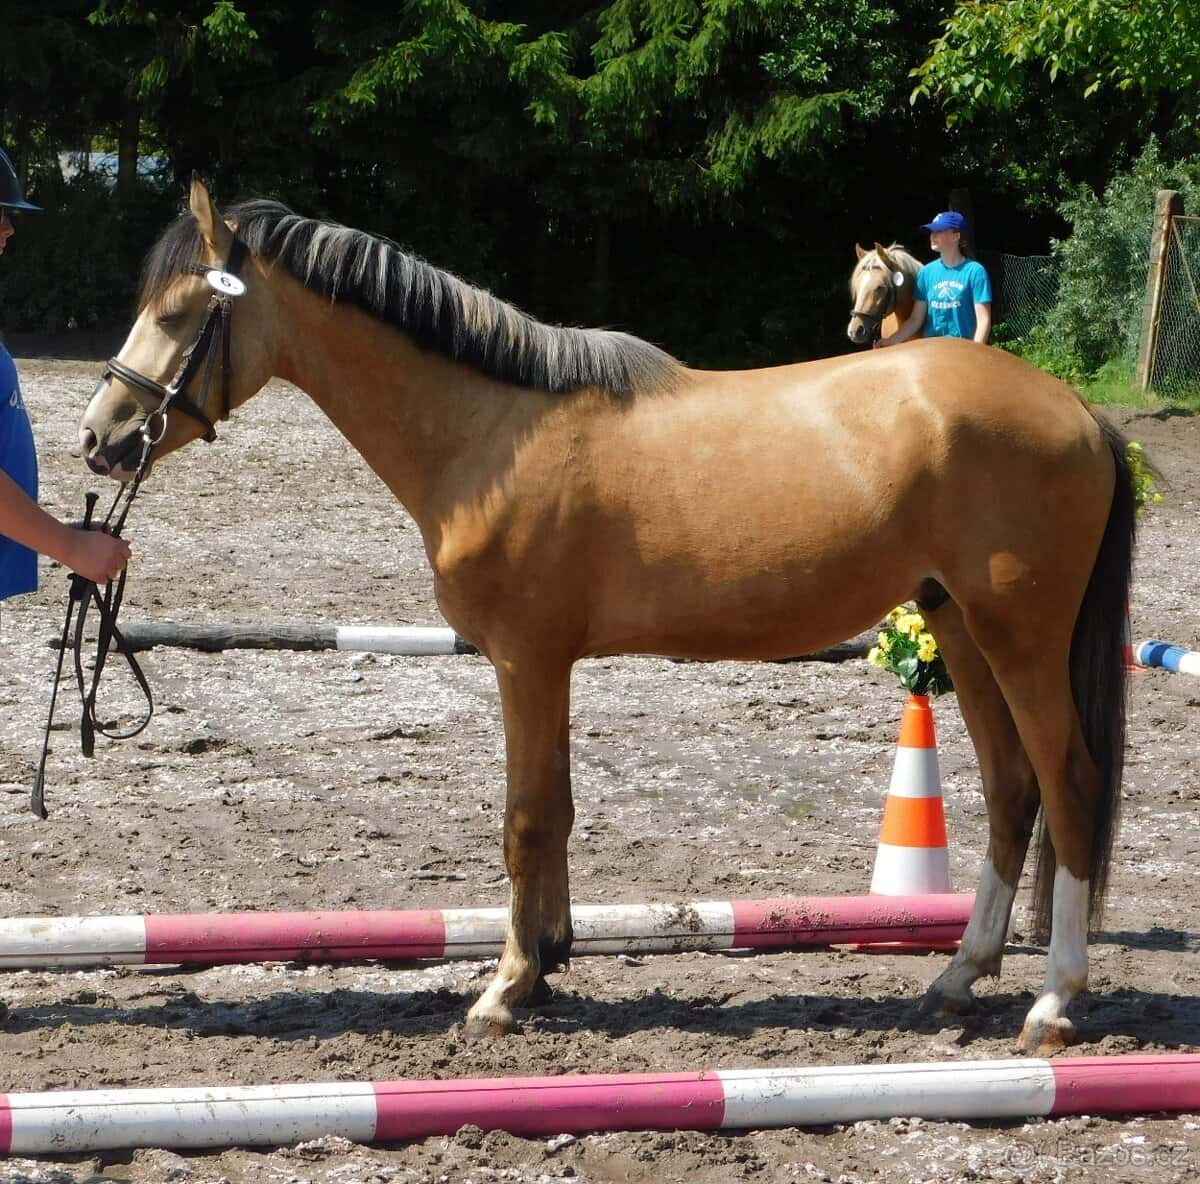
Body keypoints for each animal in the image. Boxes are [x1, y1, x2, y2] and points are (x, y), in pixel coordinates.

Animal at [78, 180, 1134, 1054]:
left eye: (176, 313)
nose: (100, 439)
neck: (492, 431)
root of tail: (1079, 413)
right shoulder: (549, 664)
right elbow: (558, 809)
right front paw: (546, 964)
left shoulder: (526, 659)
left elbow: (526, 819)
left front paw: (504, 990)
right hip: (958, 627)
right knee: (1011, 790)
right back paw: (959, 978)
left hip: (1018, 640)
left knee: (1070, 785)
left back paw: (1053, 1002)